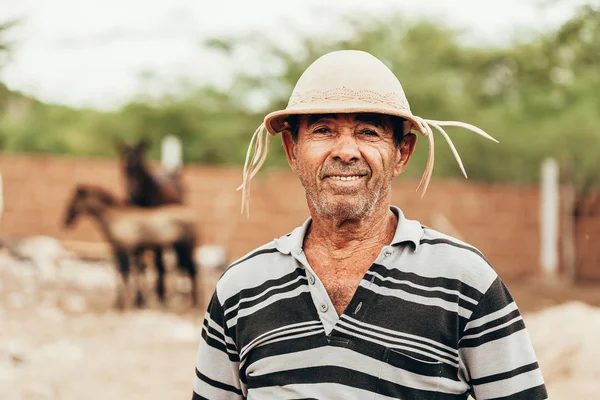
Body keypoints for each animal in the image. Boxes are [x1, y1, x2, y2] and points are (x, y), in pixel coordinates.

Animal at [62, 184, 199, 310]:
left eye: (74, 201)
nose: (65, 221)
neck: (115, 219)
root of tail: (192, 216)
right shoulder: (119, 249)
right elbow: (124, 271)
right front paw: (125, 301)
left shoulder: (128, 248)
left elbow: (128, 272)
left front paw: (129, 302)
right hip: (178, 249)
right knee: (188, 269)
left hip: (183, 248)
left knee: (191, 269)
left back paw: (192, 302)